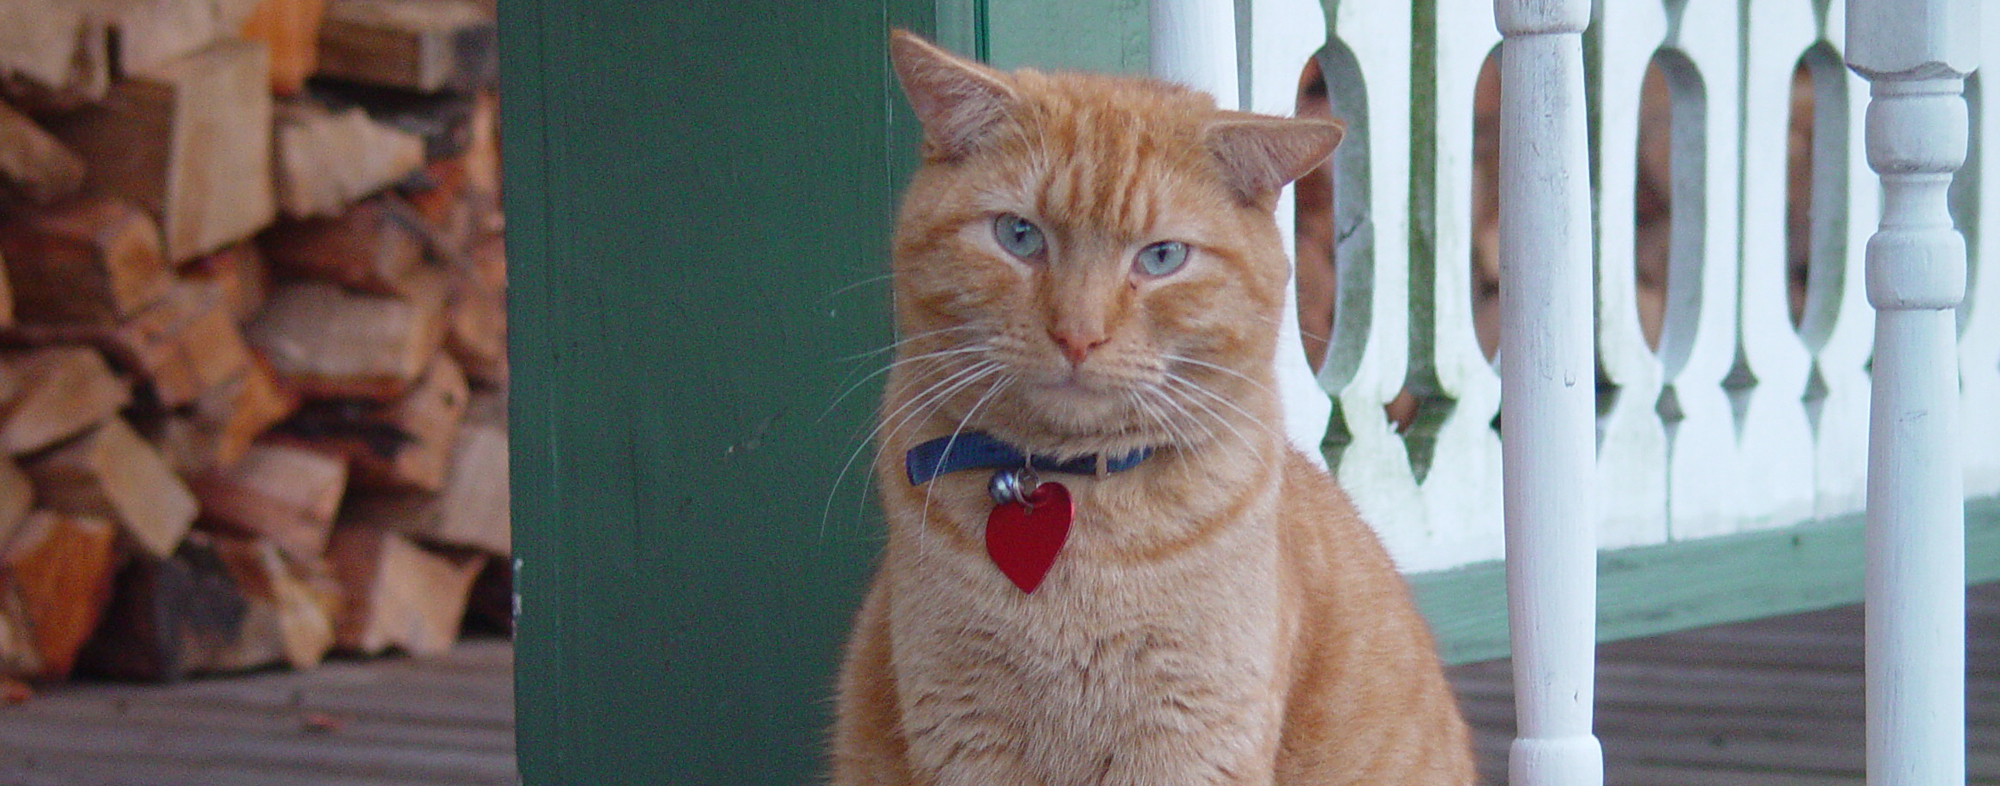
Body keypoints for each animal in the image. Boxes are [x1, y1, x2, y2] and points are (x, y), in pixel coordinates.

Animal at [836, 29, 1480, 776]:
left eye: (1163, 257)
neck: (1072, 496)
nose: (1078, 334)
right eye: (1019, 236)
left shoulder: (1190, 738)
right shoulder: (963, 731)